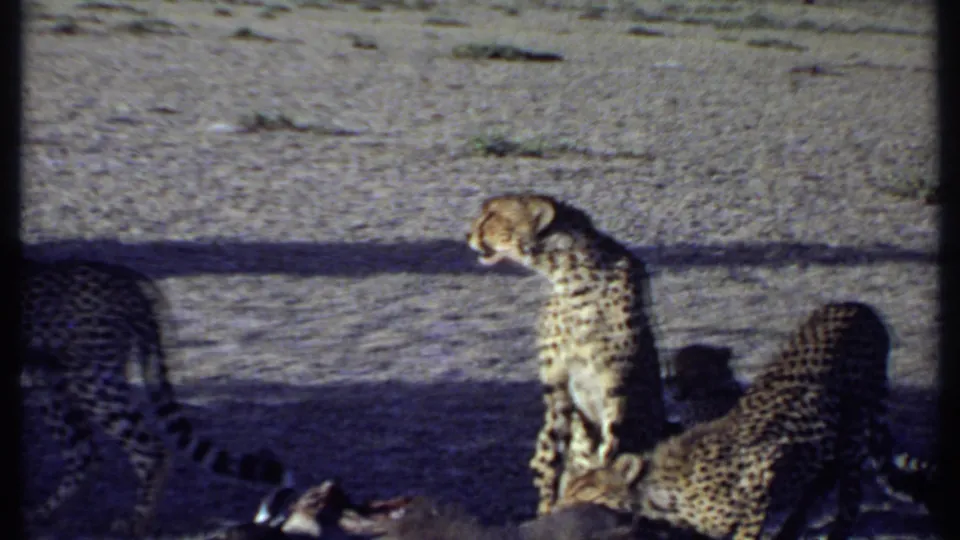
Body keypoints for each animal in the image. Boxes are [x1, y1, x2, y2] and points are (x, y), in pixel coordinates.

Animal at [21, 258, 295, 537]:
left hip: (91, 381)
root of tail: (122, 276)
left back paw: (136, 523)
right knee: (84, 453)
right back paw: (42, 513)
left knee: (149, 450)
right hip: (51, 385)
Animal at [465, 193, 676, 516]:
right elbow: (550, 449)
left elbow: (612, 434)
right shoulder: (556, 382)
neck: (571, 273)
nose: (468, 235)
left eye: (491, 215)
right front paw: (548, 504)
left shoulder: (615, 376)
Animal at [553, 301, 937, 540]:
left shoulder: (760, 479)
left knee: (848, 498)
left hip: (855, 427)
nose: (557, 507)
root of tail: (857, 307)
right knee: (818, 486)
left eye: (583, 488)